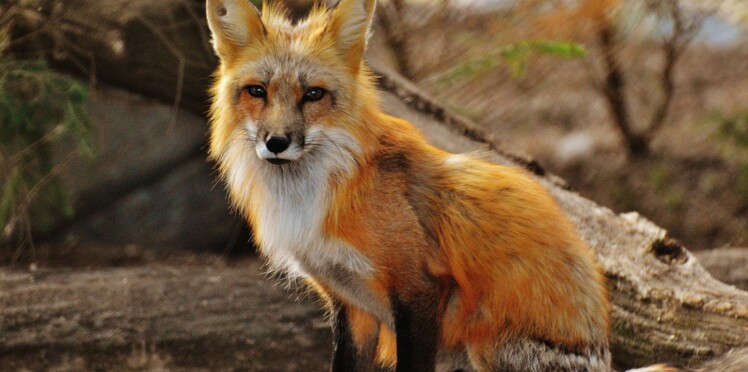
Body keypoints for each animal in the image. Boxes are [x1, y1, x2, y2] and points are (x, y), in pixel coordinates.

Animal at [205, 0, 660, 372]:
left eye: (313, 94)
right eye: (257, 92)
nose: (277, 143)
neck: (317, 194)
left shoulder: (420, 288)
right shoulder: (351, 305)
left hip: (485, 344)